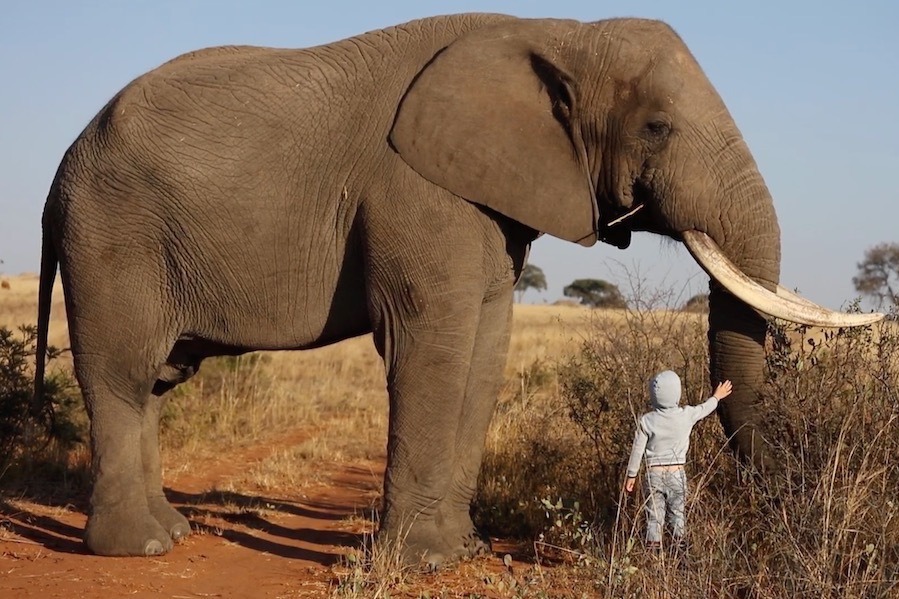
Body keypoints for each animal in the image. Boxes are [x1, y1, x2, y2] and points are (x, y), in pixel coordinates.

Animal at [31, 12, 884, 568]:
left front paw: (457, 550)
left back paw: (171, 534)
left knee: (149, 385)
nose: (780, 507)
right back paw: (139, 547)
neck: (557, 30)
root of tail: (60, 165)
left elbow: (485, 345)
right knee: (122, 375)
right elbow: (431, 341)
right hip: (112, 232)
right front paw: (420, 564)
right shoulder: (415, 185)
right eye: (655, 128)